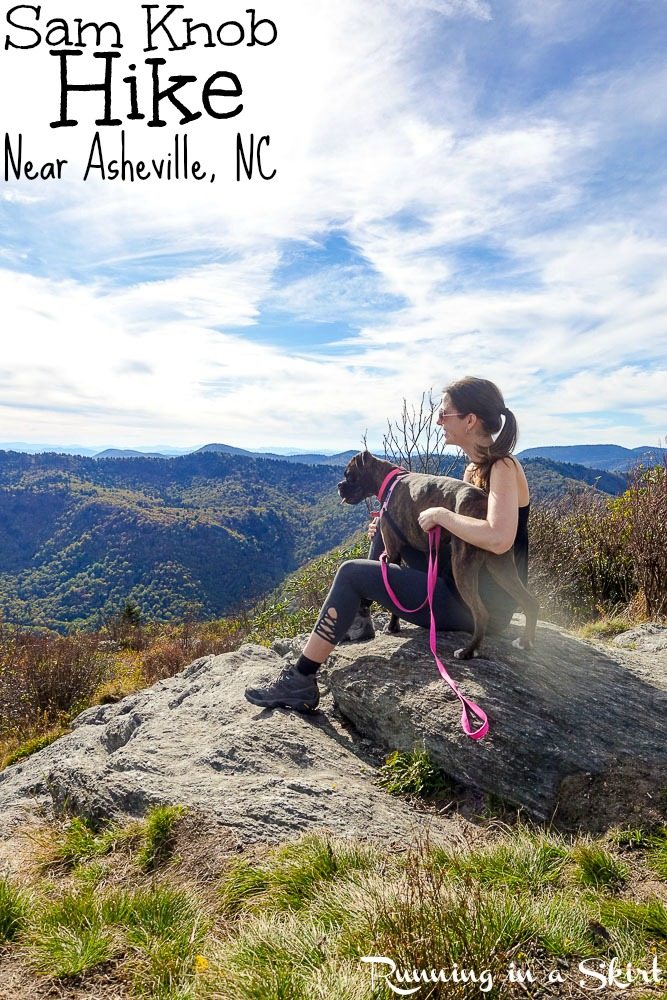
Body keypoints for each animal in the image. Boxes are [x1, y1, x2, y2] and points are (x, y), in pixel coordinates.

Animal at [336, 452, 540, 656]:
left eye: (349, 474)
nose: (339, 485)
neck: (390, 480)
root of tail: (485, 506)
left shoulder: (393, 552)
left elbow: (393, 598)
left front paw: (393, 626)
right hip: (501, 566)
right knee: (529, 601)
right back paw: (525, 641)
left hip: (462, 567)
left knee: (481, 613)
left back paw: (467, 651)